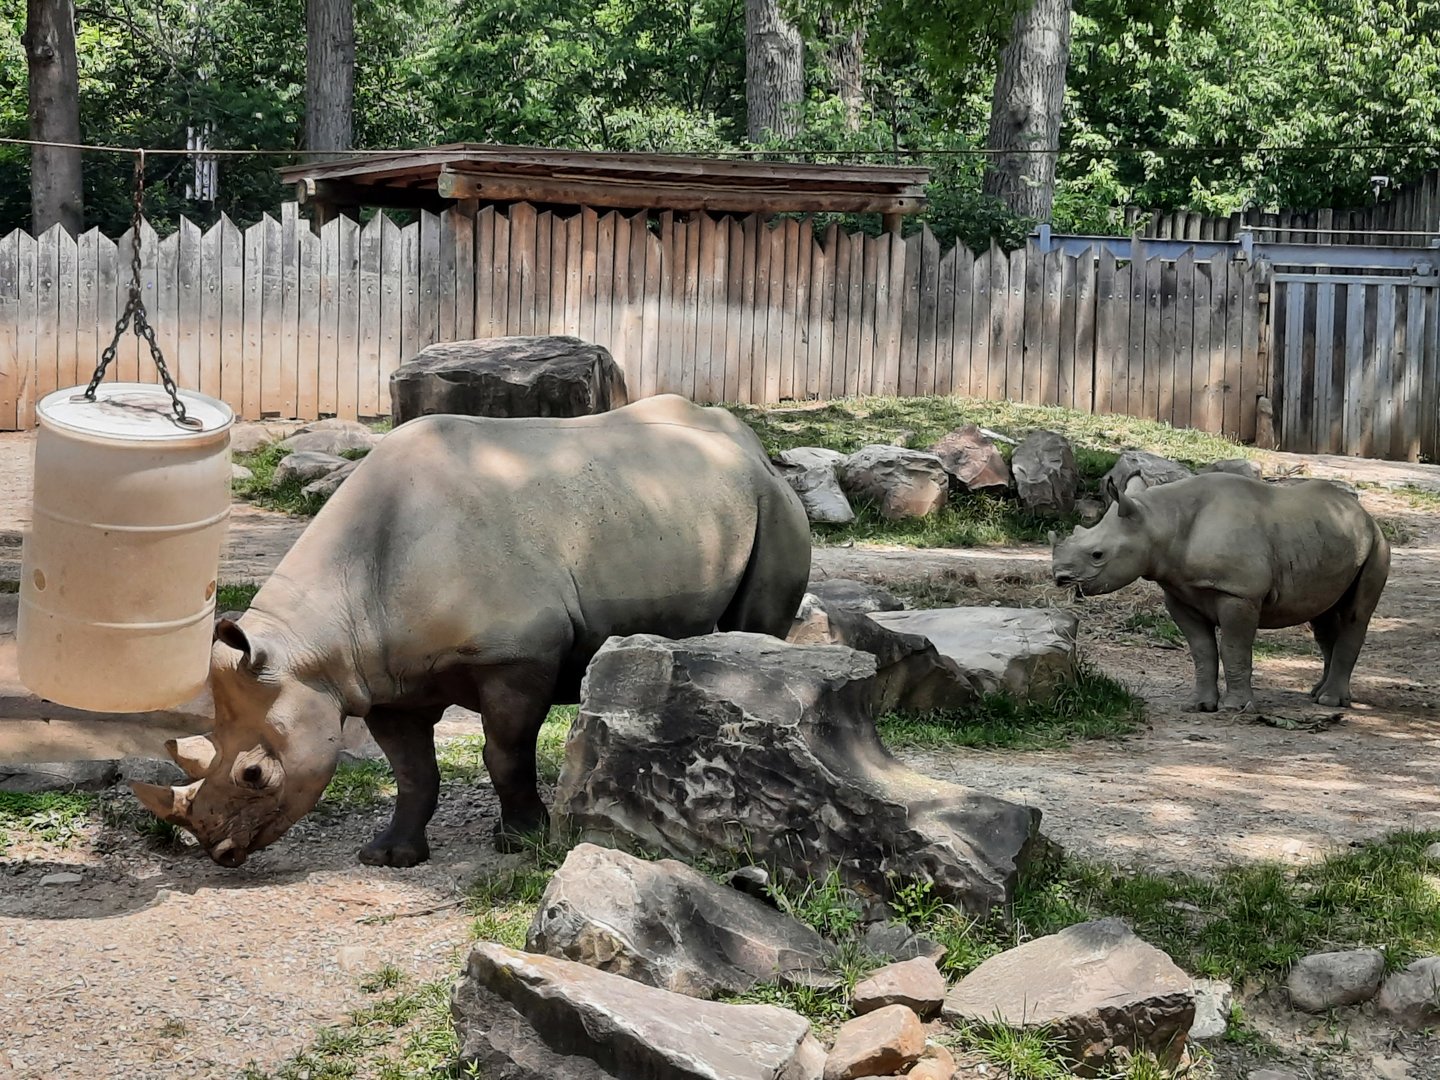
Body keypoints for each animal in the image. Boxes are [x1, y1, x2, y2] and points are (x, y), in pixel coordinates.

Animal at [131, 394, 812, 868]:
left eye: (255, 775)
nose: (220, 854)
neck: (312, 647)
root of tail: (752, 444)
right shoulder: (378, 679)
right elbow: (413, 771)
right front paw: (390, 856)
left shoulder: (517, 654)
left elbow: (503, 751)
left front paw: (522, 840)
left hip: (773, 501)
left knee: (757, 625)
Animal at [1050, 471, 1389, 713]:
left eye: (1097, 555)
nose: (1059, 578)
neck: (1160, 523)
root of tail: (1364, 513)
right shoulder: (1179, 592)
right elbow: (1202, 651)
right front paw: (1199, 705)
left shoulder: (1239, 593)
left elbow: (1233, 648)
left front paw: (1236, 708)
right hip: (1328, 536)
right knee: (1323, 618)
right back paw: (1317, 694)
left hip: (1377, 543)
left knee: (1355, 616)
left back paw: (1331, 702)